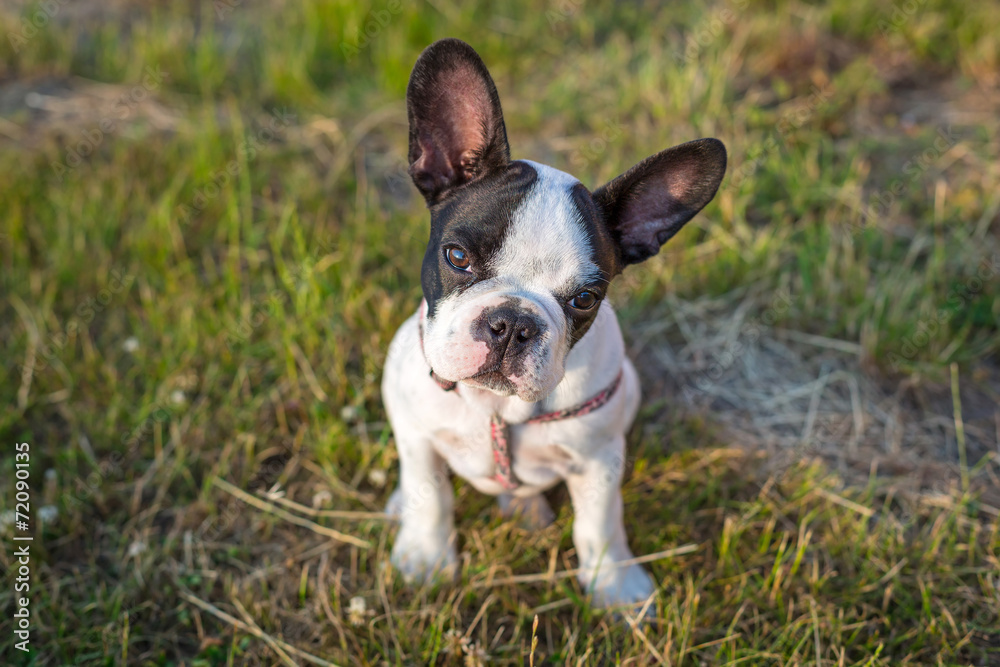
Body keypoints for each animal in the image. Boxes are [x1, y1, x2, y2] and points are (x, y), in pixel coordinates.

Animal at [382, 36, 728, 612]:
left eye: (585, 299)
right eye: (457, 257)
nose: (511, 323)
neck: (496, 409)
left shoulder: (598, 460)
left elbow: (601, 524)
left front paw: (615, 585)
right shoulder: (416, 434)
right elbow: (430, 494)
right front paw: (426, 558)